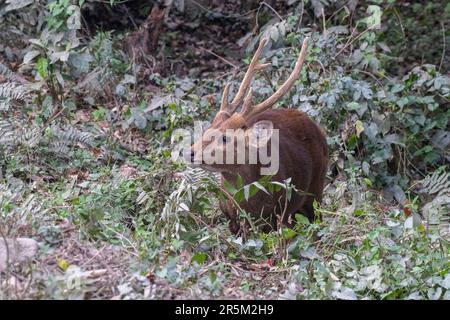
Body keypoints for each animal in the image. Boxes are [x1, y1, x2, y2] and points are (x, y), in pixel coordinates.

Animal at [185, 37, 328, 234]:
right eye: (207, 130)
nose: (190, 152)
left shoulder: (278, 214)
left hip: (316, 187)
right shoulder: (230, 219)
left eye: (225, 138)